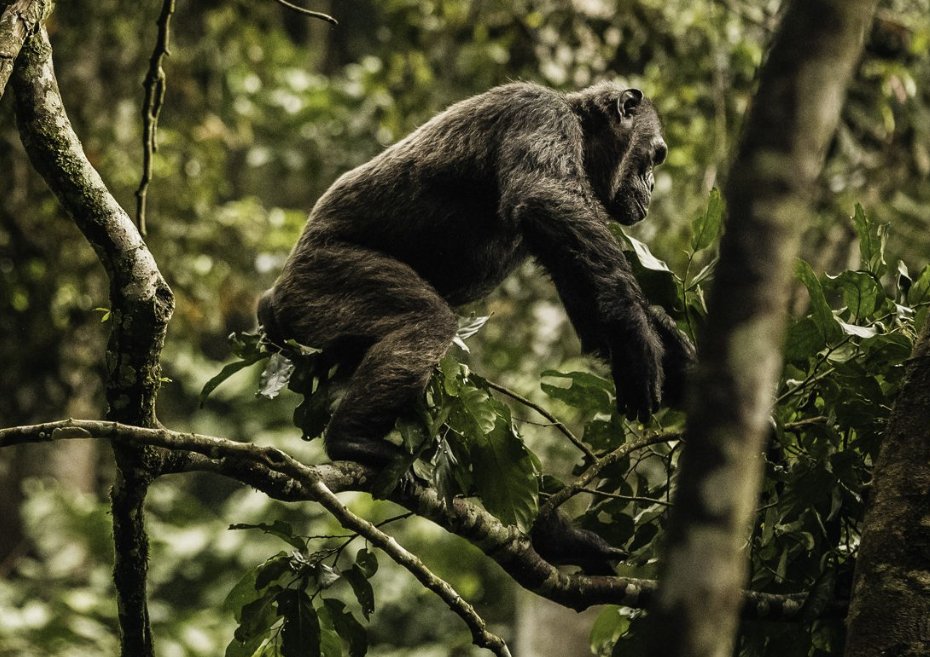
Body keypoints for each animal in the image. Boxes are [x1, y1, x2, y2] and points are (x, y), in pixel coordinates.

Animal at [258, 81, 695, 466]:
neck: (581, 131)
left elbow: (592, 307)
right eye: (656, 156)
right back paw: (352, 440)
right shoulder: (539, 115)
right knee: (425, 322)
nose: (652, 184)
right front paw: (638, 343)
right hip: (322, 279)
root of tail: (275, 296)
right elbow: (547, 200)